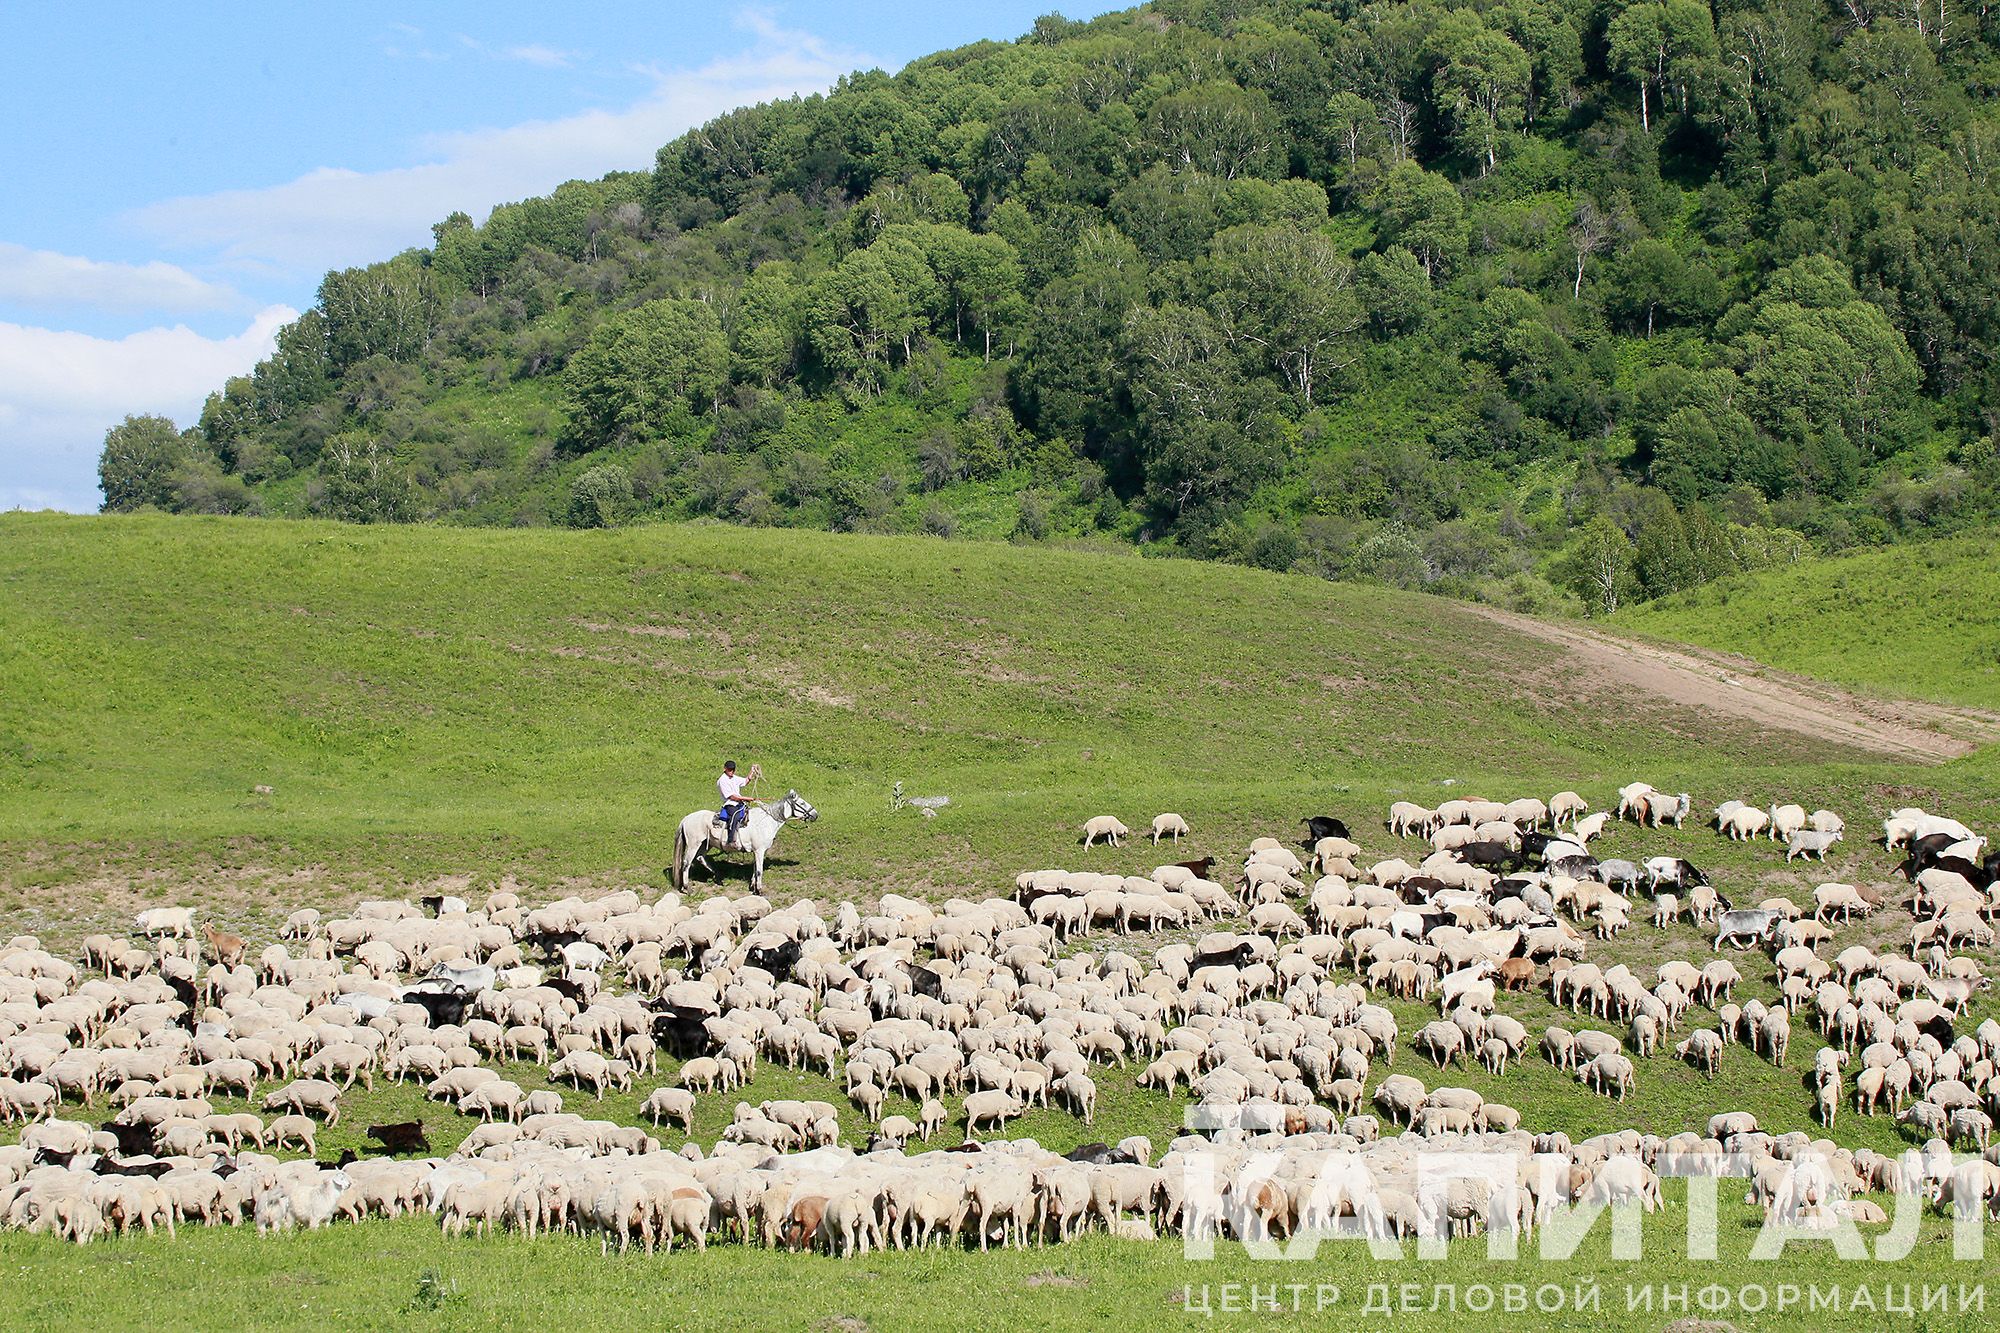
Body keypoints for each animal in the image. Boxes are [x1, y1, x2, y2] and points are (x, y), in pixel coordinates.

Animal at [668, 784, 816, 888]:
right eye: (802, 803)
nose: (815, 814)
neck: (766, 821)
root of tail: (685, 819)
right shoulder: (760, 850)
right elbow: (759, 870)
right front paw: (759, 890)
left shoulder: (757, 851)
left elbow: (756, 868)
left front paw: (753, 886)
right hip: (694, 844)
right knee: (686, 863)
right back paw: (687, 888)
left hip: (706, 844)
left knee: (700, 857)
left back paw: (718, 877)